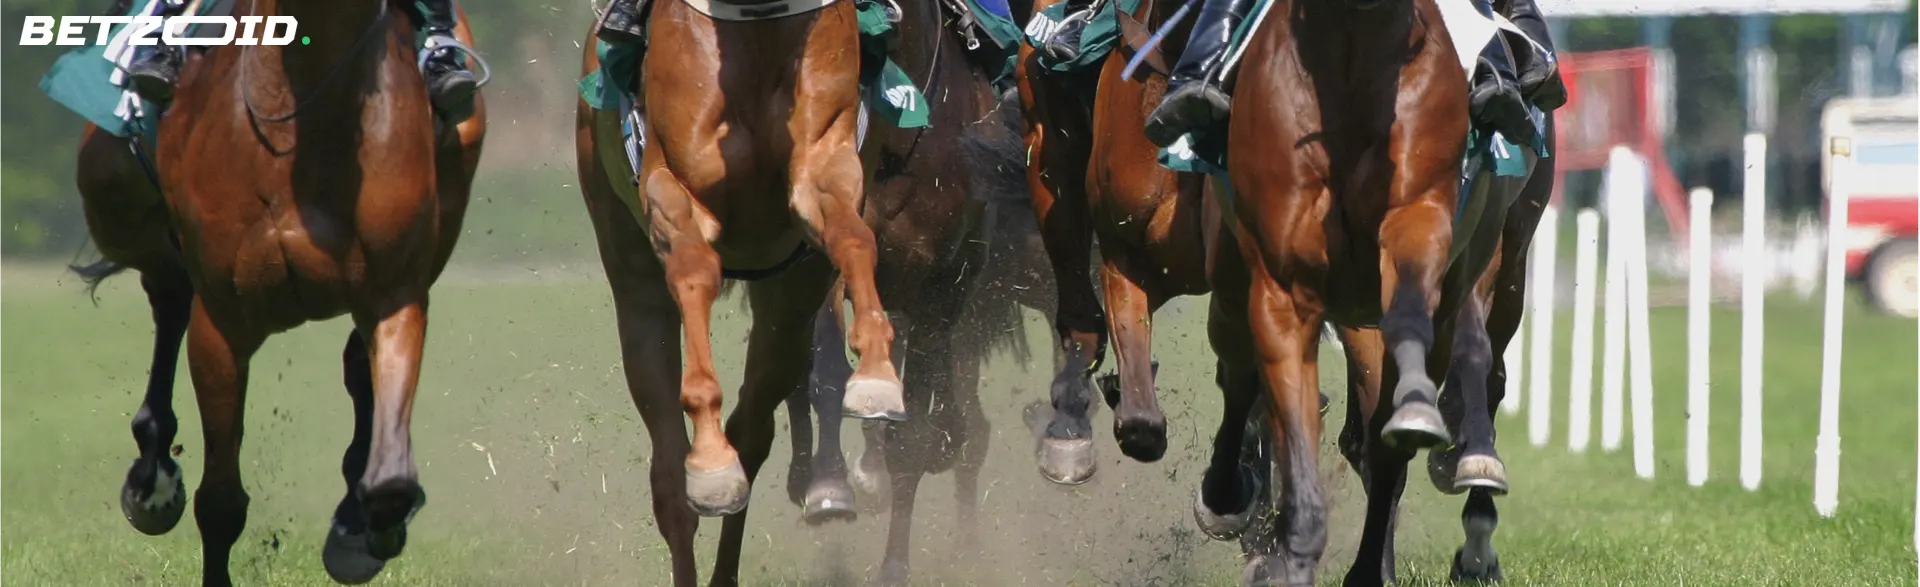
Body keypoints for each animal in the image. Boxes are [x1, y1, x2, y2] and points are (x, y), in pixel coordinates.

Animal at [72, 2, 488, 585]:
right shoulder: (223, 321)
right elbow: (220, 502)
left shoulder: (396, 292)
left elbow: (390, 479)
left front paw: (366, 524)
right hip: (115, 203)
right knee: (169, 292)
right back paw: (151, 472)